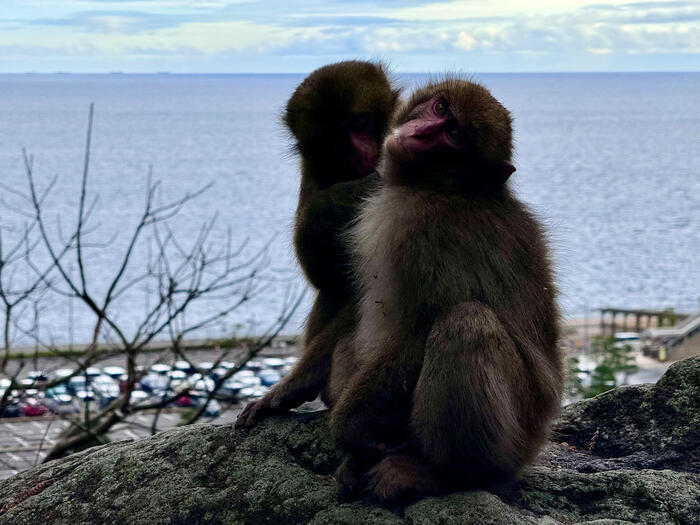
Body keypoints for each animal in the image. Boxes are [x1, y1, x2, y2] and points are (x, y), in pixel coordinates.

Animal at [235, 61, 400, 428]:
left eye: (361, 124)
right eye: (335, 139)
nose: (362, 151)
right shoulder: (313, 169)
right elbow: (323, 272)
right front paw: (343, 197)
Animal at [326, 77, 564, 500]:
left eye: (454, 136)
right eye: (440, 109)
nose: (419, 133)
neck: (439, 186)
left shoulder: (425, 233)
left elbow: (416, 331)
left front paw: (349, 432)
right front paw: (356, 451)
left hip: (516, 436)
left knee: (465, 322)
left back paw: (448, 474)